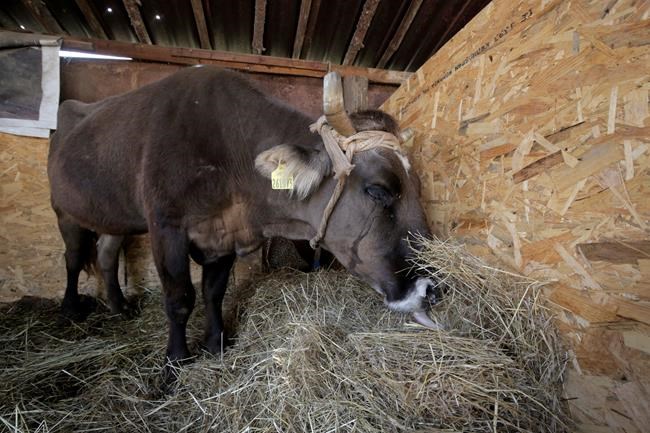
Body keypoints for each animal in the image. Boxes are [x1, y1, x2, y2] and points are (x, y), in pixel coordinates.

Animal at [48, 66, 438, 366]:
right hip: (64, 209)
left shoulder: (222, 233)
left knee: (106, 255)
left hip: (113, 215)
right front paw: (176, 361)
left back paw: (119, 306)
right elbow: (179, 298)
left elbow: (213, 292)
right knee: (72, 258)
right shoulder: (166, 225)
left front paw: (215, 344)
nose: (432, 289)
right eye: (378, 190)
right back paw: (70, 309)